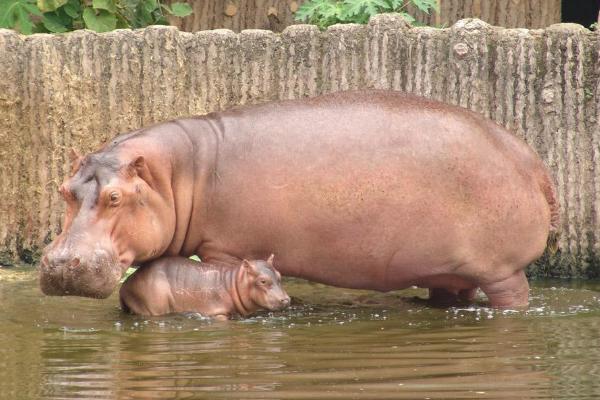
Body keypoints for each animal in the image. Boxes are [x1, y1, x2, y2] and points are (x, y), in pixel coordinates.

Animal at [39, 90, 560, 306]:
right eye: (63, 189)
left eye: (115, 197)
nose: (61, 264)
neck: (175, 174)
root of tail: (533, 159)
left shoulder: (226, 250)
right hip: (451, 272)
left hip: (502, 272)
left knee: (513, 297)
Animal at [119, 256, 290, 318]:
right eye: (262, 281)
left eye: (280, 274)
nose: (286, 299)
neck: (233, 282)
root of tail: (126, 283)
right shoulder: (217, 312)